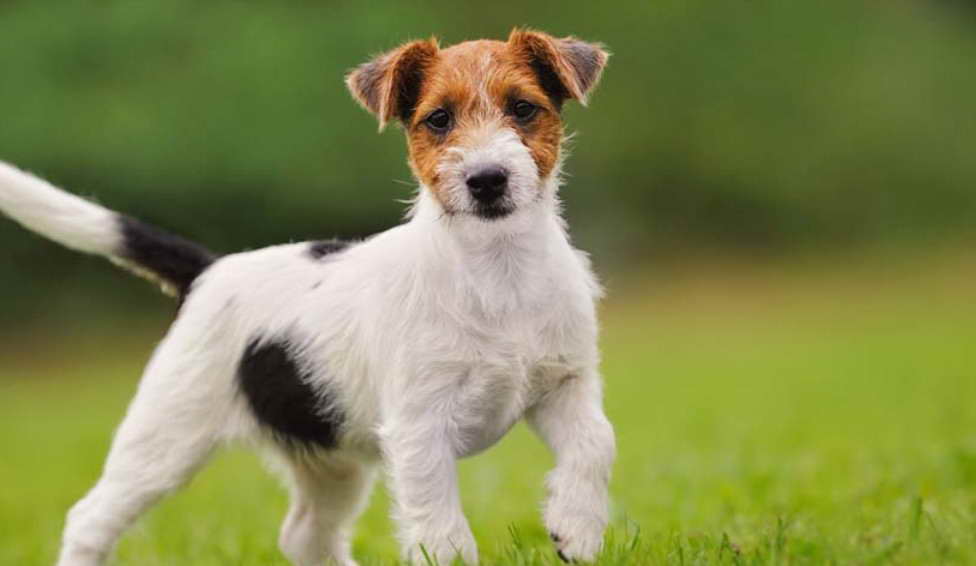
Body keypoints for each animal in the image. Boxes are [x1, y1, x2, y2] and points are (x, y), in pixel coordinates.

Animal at [0, 30, 612, 566]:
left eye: (524, 108)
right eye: (438, 119)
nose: (487, 180)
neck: (496, 270)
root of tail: (210, 269)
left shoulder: (565, 384)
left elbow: (595, 444)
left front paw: (576, 527)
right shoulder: (420, 429)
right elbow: (441, 530)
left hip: (329, 457)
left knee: (304, 536)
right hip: (165, 439)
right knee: (90, 518)